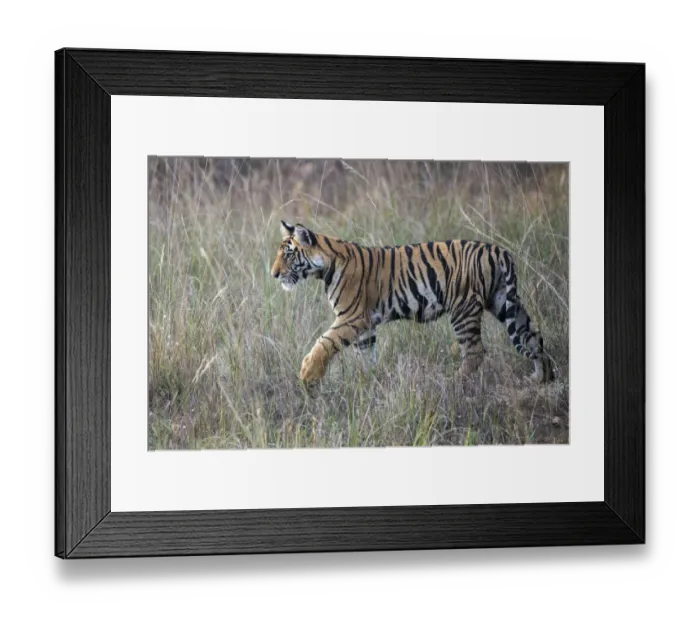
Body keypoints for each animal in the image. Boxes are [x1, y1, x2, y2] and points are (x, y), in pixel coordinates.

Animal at [271, 220, 554, 385]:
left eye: (289, 254)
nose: (273, 274)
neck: (324, 267)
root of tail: (500, 251)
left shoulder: (352, 317)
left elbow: (325, 342)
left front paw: (308, 374)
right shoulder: (366, 326)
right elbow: (366, 357)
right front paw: (366, 385)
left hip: (463, 309)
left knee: (475, 352)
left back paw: (454, 383)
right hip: (505, 302)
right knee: (534, 338)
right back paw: (540, 379)